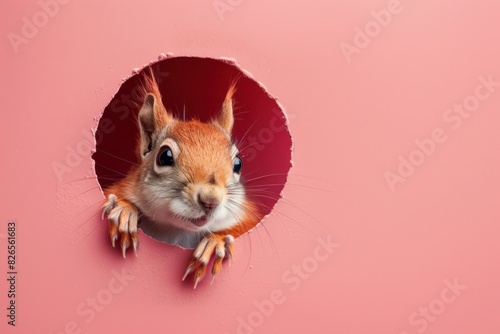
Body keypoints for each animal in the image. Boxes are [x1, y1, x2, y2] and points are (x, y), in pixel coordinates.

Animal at [100, 68, 262, 288]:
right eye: (165, 156)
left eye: (238, 163)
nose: (210, 200)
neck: (176, 231)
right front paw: (124, 212)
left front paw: (215, 243)